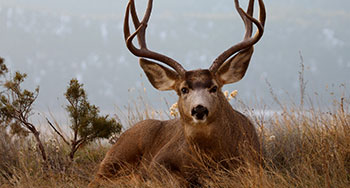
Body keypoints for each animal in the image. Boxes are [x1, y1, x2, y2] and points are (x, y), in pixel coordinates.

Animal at [88, 0, 266, 186]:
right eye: (183, 89)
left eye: (214, 88)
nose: (199, 109)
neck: (210, 159)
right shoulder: (158, 162)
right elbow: (175, 180)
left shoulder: (255, 161)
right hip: (119, 153)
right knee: (96, 180)